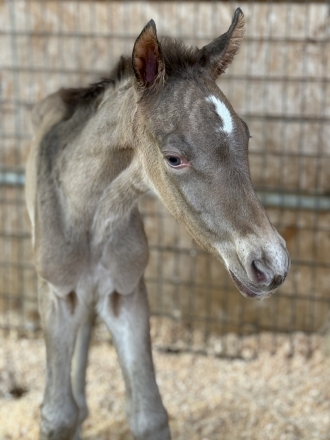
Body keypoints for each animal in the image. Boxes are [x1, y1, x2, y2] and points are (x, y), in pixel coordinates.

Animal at [26, 8, 288, 438]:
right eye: (173, 158)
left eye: (247, 137)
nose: (271, 264)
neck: (90, 220)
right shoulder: (57, 293)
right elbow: (56, 413)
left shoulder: (127, 292)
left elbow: (149, 414)